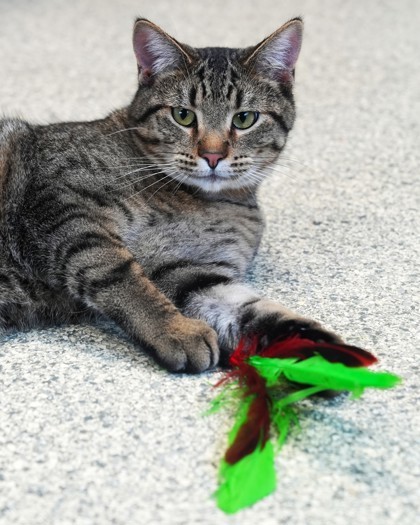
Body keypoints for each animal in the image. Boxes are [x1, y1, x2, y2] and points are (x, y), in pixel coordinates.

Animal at [0, 18, 342, 370]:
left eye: (245, 119)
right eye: (183, 115)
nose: (213, 155)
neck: (193, 201)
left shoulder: (192, 274)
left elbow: (260, 316)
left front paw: (330, 357)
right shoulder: (65, 201)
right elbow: (123, 277)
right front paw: (176, 331)